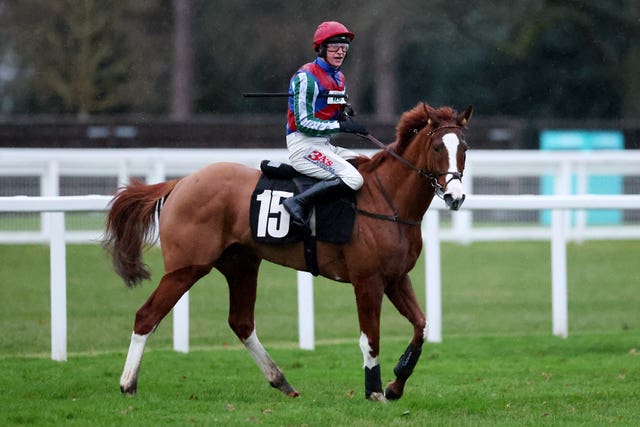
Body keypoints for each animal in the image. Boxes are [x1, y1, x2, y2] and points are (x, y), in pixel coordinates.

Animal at [102, 102, 472, 402]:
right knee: (147, 316)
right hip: (187, 267)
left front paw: (396, 384)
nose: (455, 197)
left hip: (241, 264)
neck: (388, 201)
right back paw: (127, 384)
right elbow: (371, 339)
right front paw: (375, 392)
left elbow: (422, 326)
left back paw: (281, 381)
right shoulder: (368, 281)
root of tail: (180, 183)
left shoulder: (396, 278)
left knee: (241, 322)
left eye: (464, 148)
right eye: (437, 146)